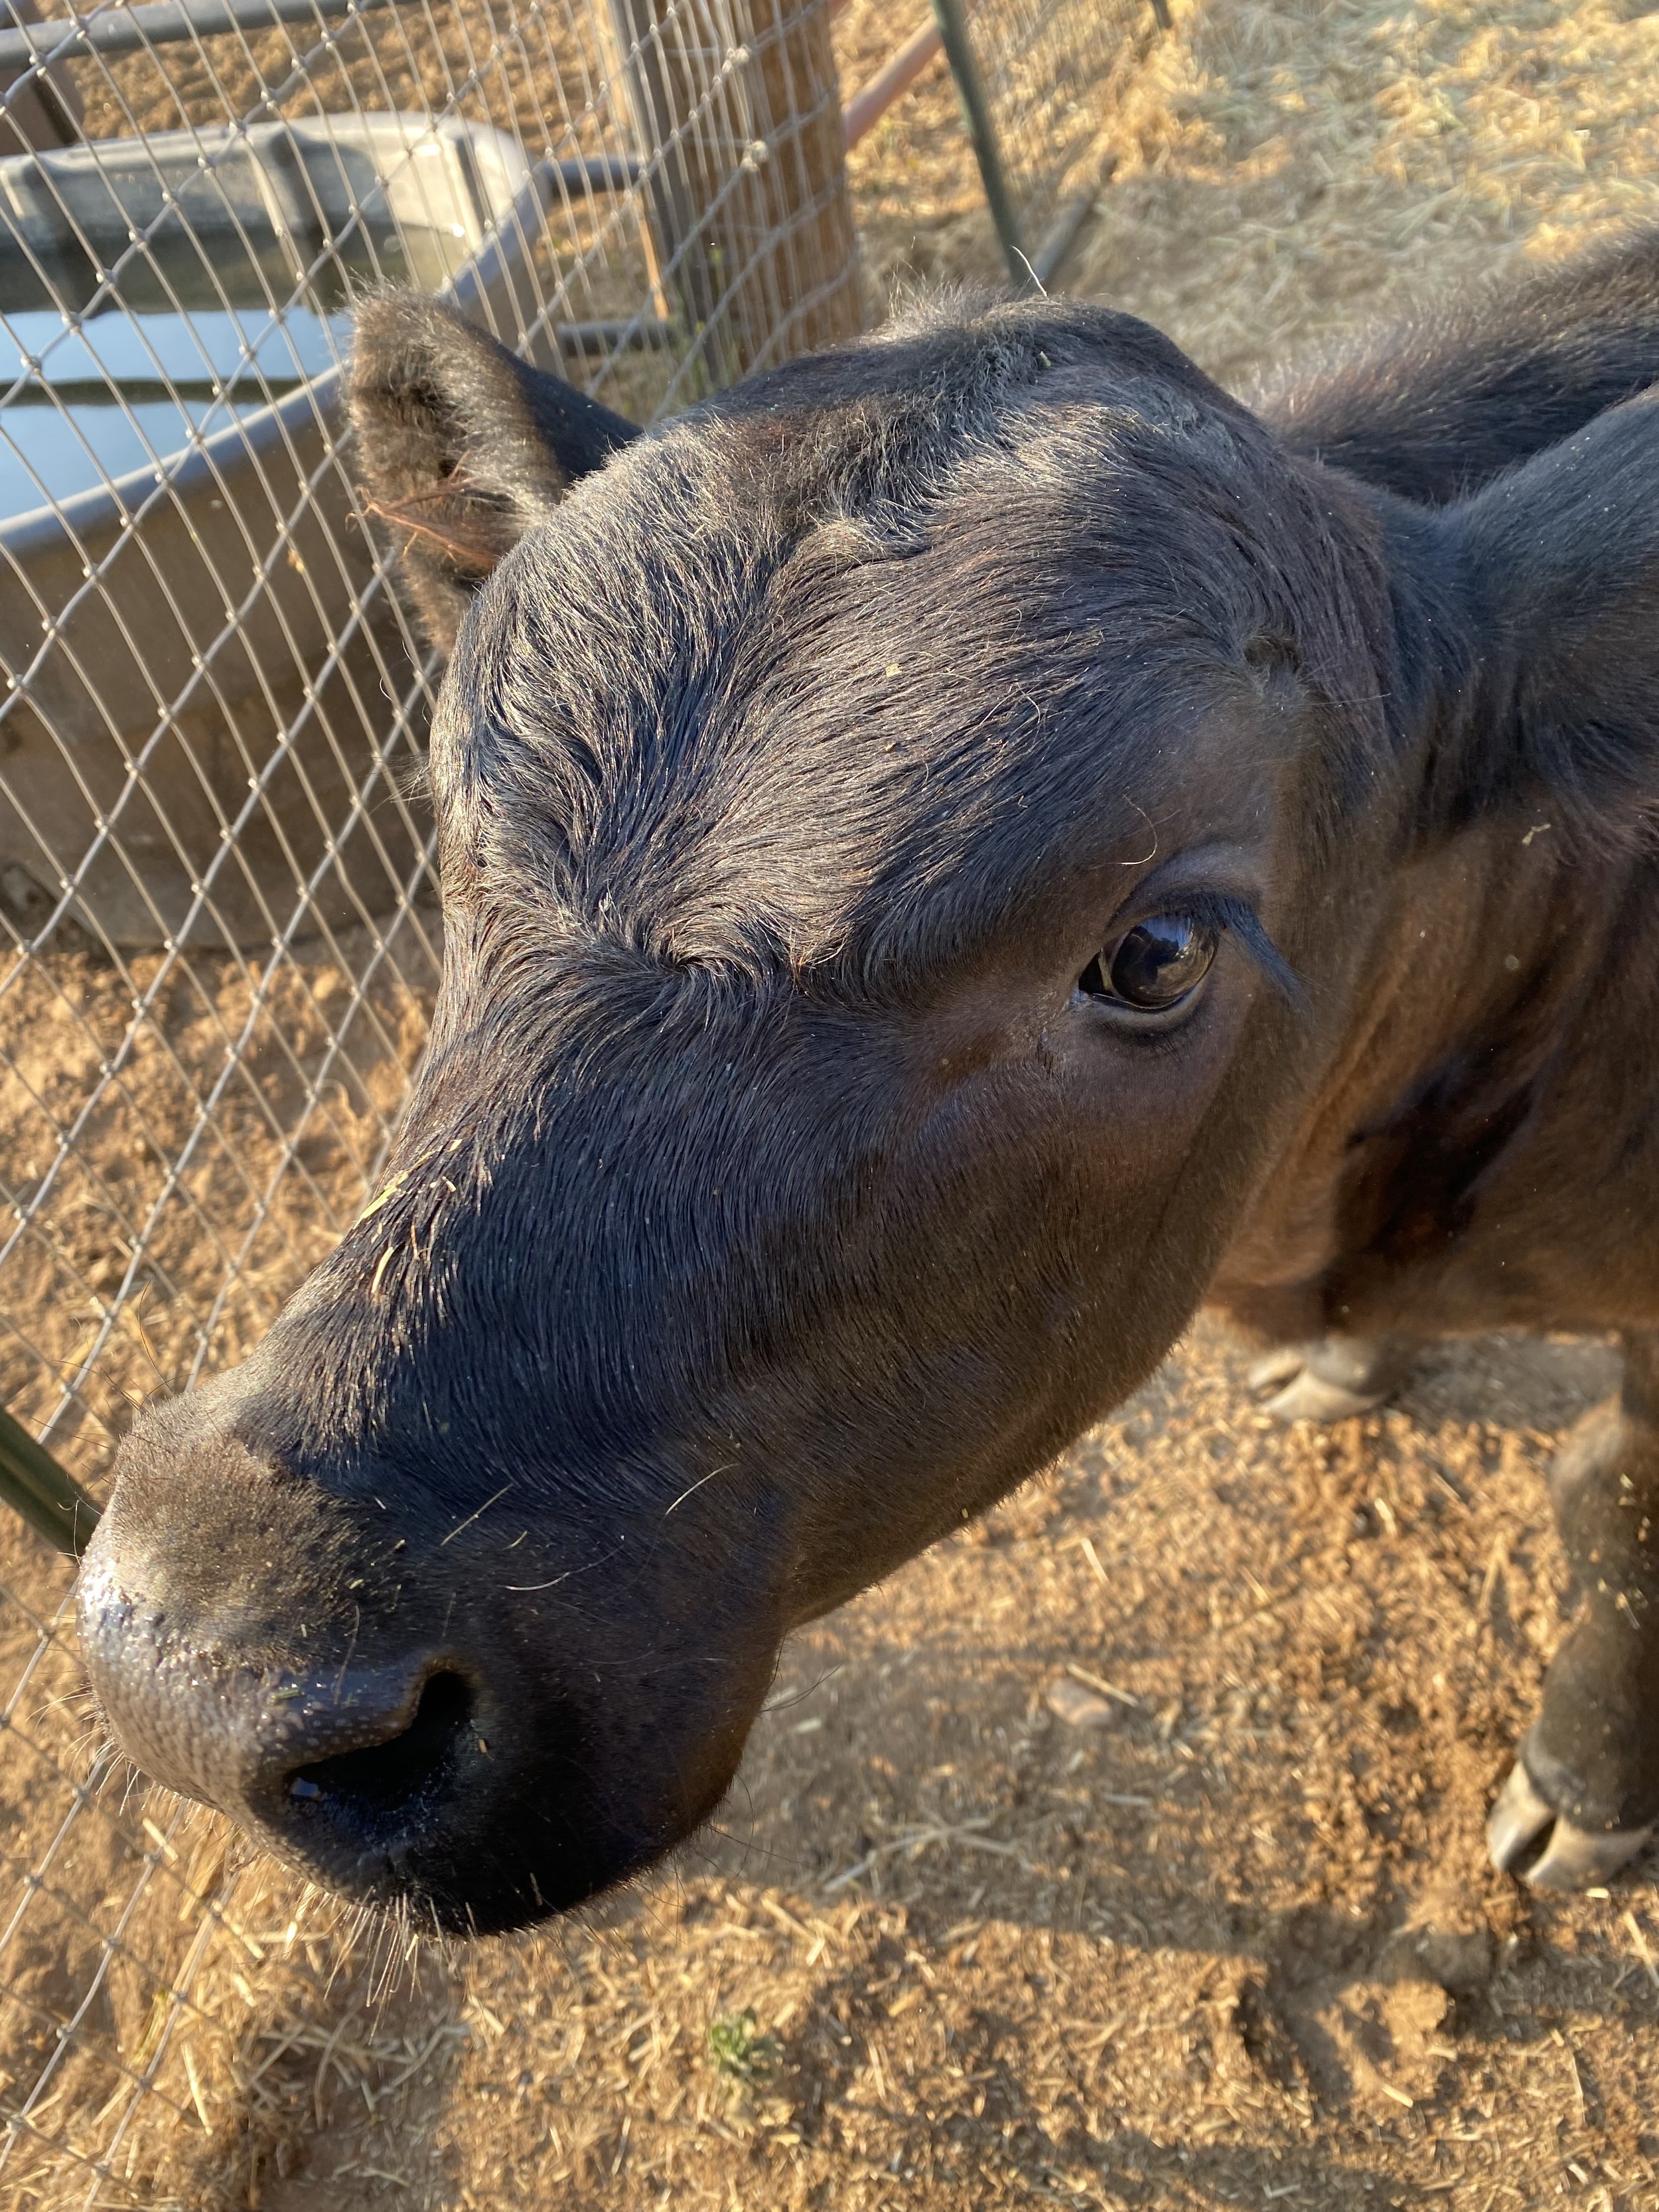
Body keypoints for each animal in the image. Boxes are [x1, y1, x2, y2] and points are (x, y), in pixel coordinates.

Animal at [75, 230, 1659, 1935]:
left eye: (1154, 949)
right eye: (448, 827)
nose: (207, 1652)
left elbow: (1615, 1494)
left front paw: (1587, 1784)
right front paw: (1349, 1370)